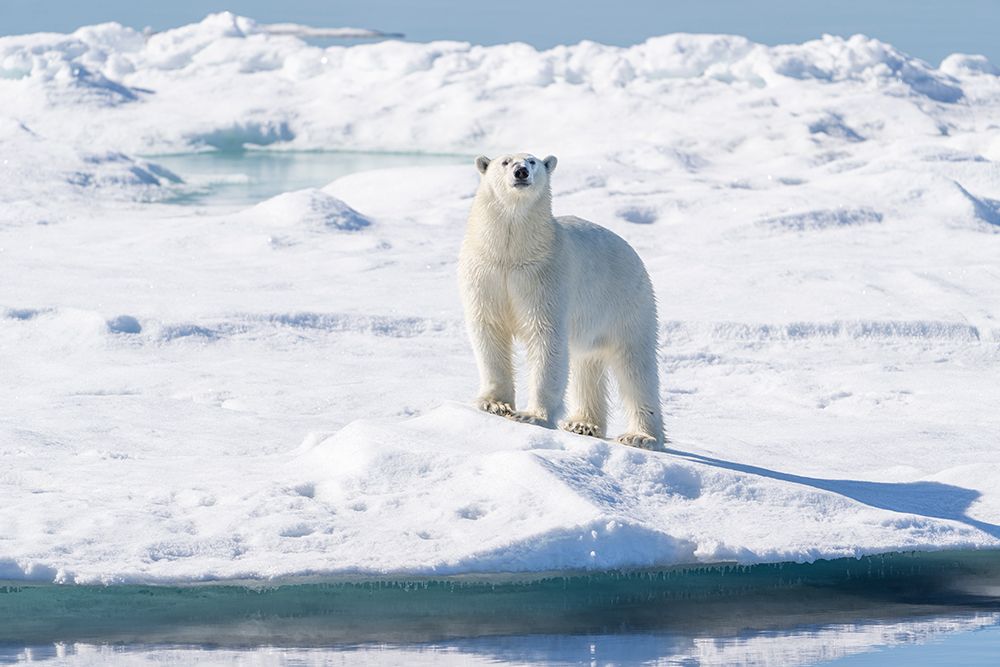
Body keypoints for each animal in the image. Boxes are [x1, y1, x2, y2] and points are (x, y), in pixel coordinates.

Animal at [458, 152, 664, 449]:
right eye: (505, 162)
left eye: (532, 161)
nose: (521, 172)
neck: (512, 254)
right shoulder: (486, 273)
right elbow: (489, 331)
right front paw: (494, 404)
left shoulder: (546, 276)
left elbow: (546, 338)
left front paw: (531, 416)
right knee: (587, 362)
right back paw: (583, 424)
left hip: (628, 302)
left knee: (636, 367)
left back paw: (641, 436)